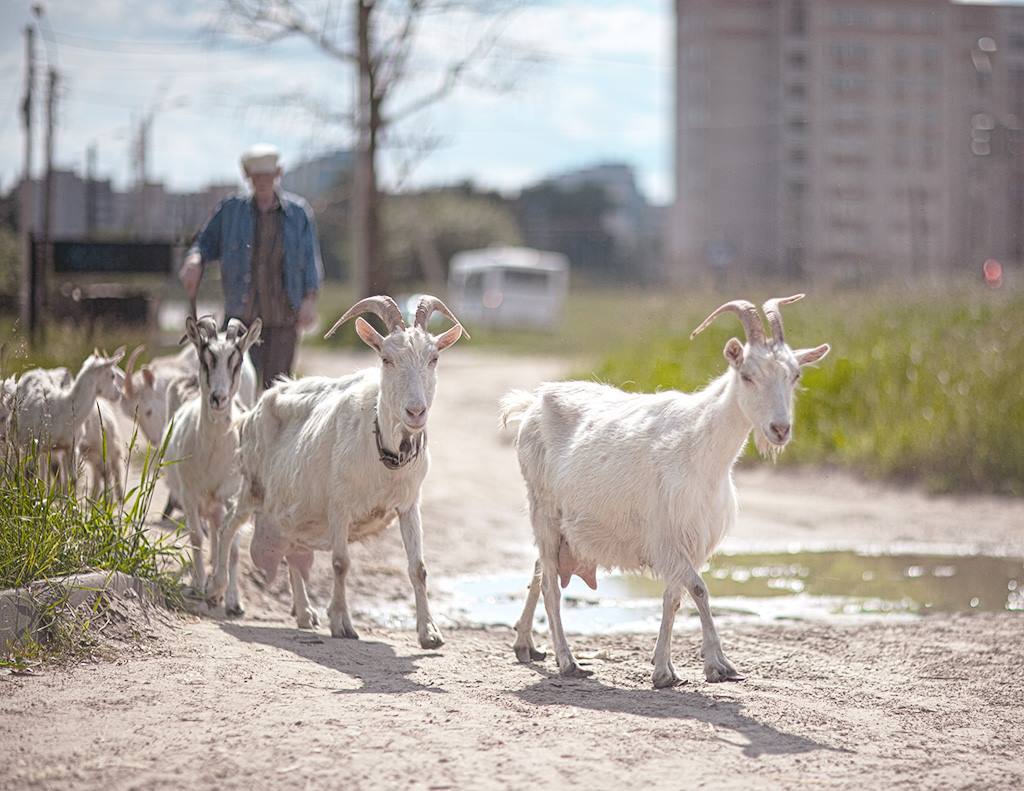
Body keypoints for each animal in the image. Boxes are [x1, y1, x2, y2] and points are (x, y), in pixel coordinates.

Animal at [162, 317, 260, 614]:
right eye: (206, 359)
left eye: (236, 361)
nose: (218, 398)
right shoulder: (189, 494)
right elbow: (196, 537)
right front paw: (201, 585)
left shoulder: (232, 495)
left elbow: (234, 546)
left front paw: (231, 599)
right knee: (209, 535)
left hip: (217, 503)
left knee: (218, 535)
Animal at [501, 295, 831, 684]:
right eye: (747, 375)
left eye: (795, 376)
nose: (780, 429)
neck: (699, 444)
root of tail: (532, 405)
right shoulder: (667, 536)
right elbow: (699, 589)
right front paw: (718, 665)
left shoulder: (689, 539)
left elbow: (673, 598)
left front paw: (665, 669)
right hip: (544, 510)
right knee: (551, 584)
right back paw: (568, 662)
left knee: (540, 570)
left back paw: (525, 644)